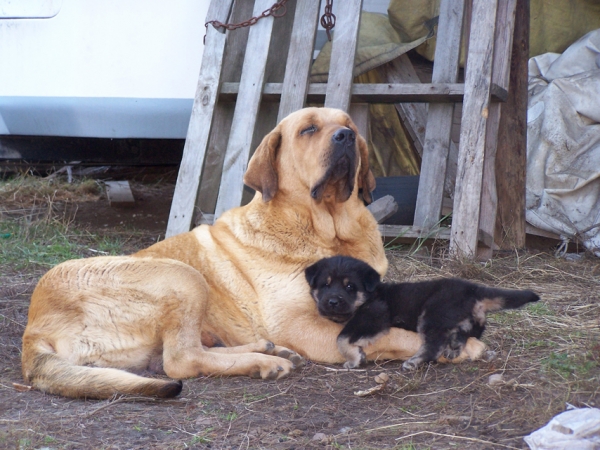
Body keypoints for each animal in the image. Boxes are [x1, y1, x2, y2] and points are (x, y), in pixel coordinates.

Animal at [21, 107, 486, 400]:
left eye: (349, 124)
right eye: (308, 130)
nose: (347, 136)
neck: (327, 231)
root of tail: (32, 330)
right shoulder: (307, 325)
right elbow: (395, 335)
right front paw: (463, 346)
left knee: (186, 353)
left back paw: (266, 351)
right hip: (181, 276)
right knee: (181, 362)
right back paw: (264, 363)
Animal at [304, 255, 540, 370]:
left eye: (350, 287)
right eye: (325, 285)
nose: (332, 302)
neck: (371, 295)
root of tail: (472, 290)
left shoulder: (374, 315)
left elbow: (342, 338)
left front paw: (354, 359)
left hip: (431, 315)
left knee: (433, 347)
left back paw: (414, 361)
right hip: (469, 320)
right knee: (465, 332)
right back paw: (455, 347)